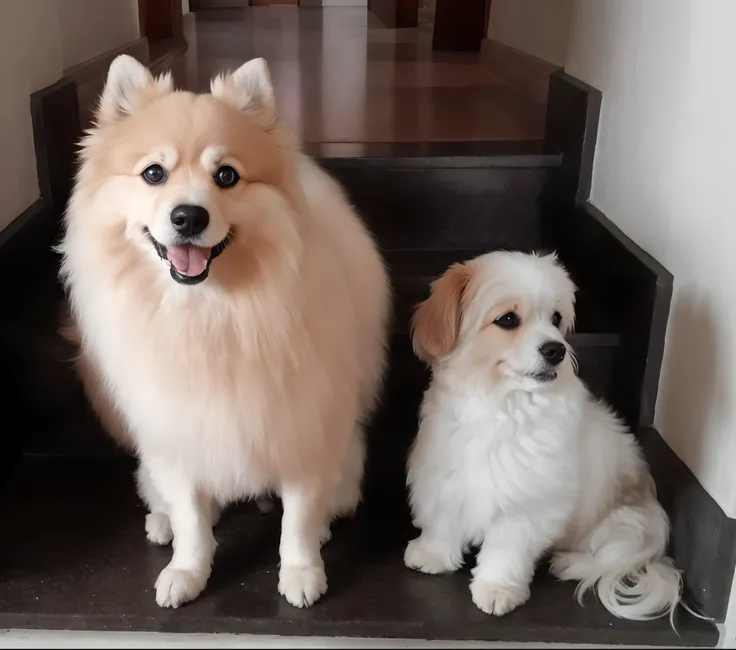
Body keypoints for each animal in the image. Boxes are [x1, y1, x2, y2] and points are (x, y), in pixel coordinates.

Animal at [57, 54, 392, 608]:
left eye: (227, 175)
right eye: (154, 173)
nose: (188, 216)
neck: (212, 312)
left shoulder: (302, 427)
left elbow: (298, 519)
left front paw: (301, 571)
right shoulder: (180, 431)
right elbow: (192, 519)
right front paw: (188, 571)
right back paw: (163, 521)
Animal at [406, 248, 680, 616]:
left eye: (556, 318)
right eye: (508, 319)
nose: (556, 349)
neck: (500, 405)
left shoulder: (527, 498)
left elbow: (507, 549)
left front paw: (497, 588)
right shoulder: (445, 474)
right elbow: (443, 517)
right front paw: (433, 553)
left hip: (624, 526)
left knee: (608, 555)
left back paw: (569, 562)